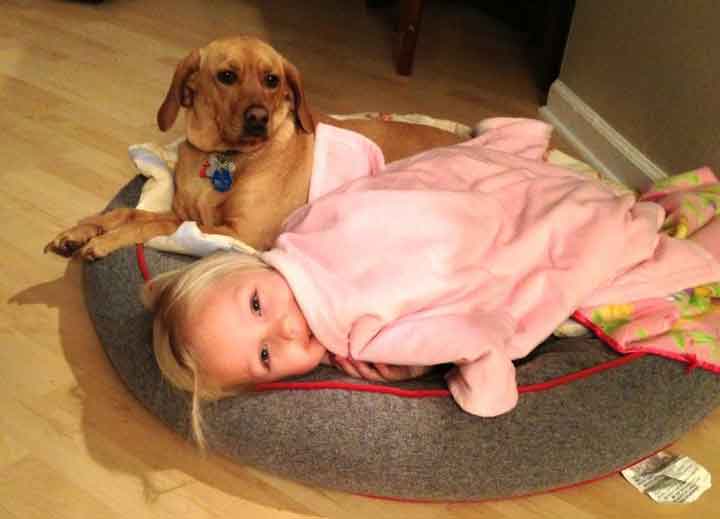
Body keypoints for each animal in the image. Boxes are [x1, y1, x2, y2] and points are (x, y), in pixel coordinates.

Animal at [43, 35, 462, 258]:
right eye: (226, 76)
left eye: (272, 80)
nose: (258, 117)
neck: (224, 158)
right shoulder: (189, 211)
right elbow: (129, 212)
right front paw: (83, 230)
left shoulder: (241, 233)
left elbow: (157, 223)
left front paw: (106, 240)